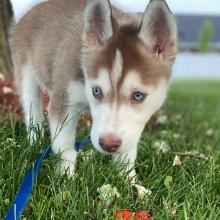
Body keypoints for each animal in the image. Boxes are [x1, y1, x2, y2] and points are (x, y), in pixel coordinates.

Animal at [11, 0, 178, 181]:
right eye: (96, 91)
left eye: (138, 95)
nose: (108, 144)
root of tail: (34, 8)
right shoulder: (64, 100)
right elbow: (64, 145)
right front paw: (65, 177)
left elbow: (128, 153)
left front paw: (128, 180)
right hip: (26, 73)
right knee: (32, 109)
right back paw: (34, 141)